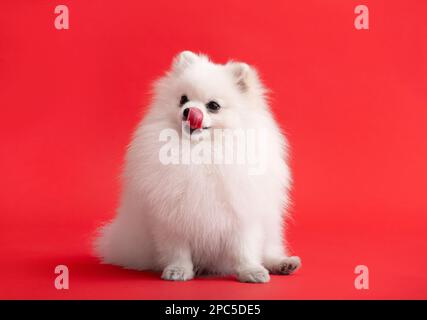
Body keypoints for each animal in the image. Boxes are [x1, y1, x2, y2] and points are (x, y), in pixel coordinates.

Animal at [94, 51, 300, 284]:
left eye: (213, 106)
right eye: (183, 99)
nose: (189, 111)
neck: (200, 152)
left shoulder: (242, 213)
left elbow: (244, 249)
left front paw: (250, 271)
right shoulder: (171, 216)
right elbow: (177, 250)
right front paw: (178, 270)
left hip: (271, 229)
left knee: (268, 251)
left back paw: (282, 263)